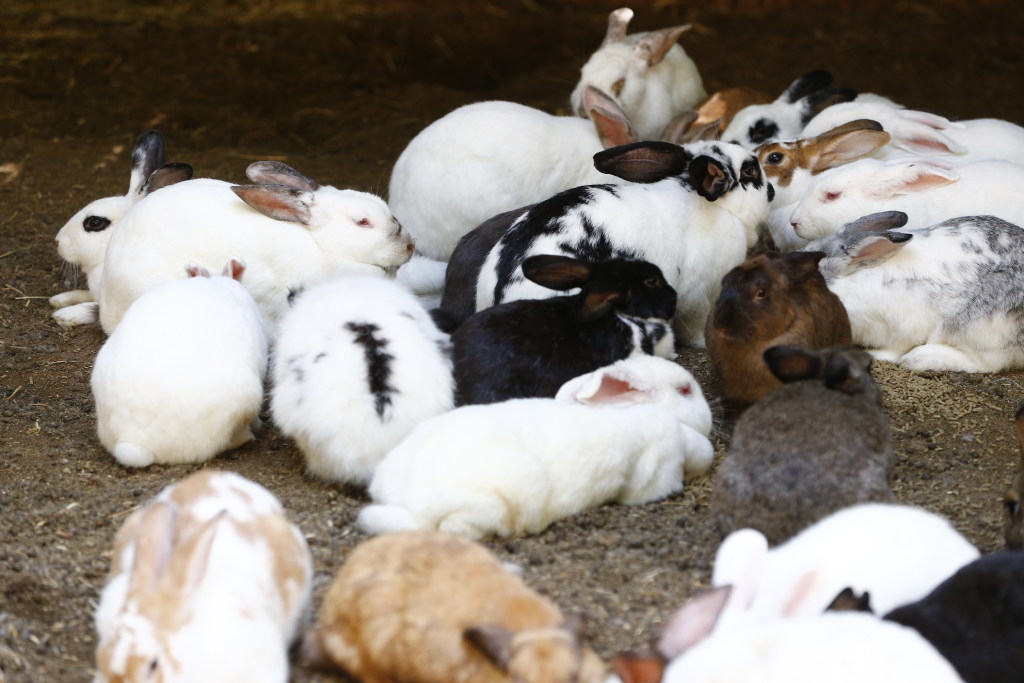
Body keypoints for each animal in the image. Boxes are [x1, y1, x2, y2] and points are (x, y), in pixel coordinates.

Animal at [476, 139, 774, 347]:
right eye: (749, 171)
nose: (771, 191)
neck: (717, 207)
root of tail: (499, 296)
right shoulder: (699, 298)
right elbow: (695, 328)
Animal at [807, 211, 1024, 372]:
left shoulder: (906, 326)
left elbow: (895, 348)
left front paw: (877, 355)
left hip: (977, 325)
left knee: (988, 363)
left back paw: (918, 359)